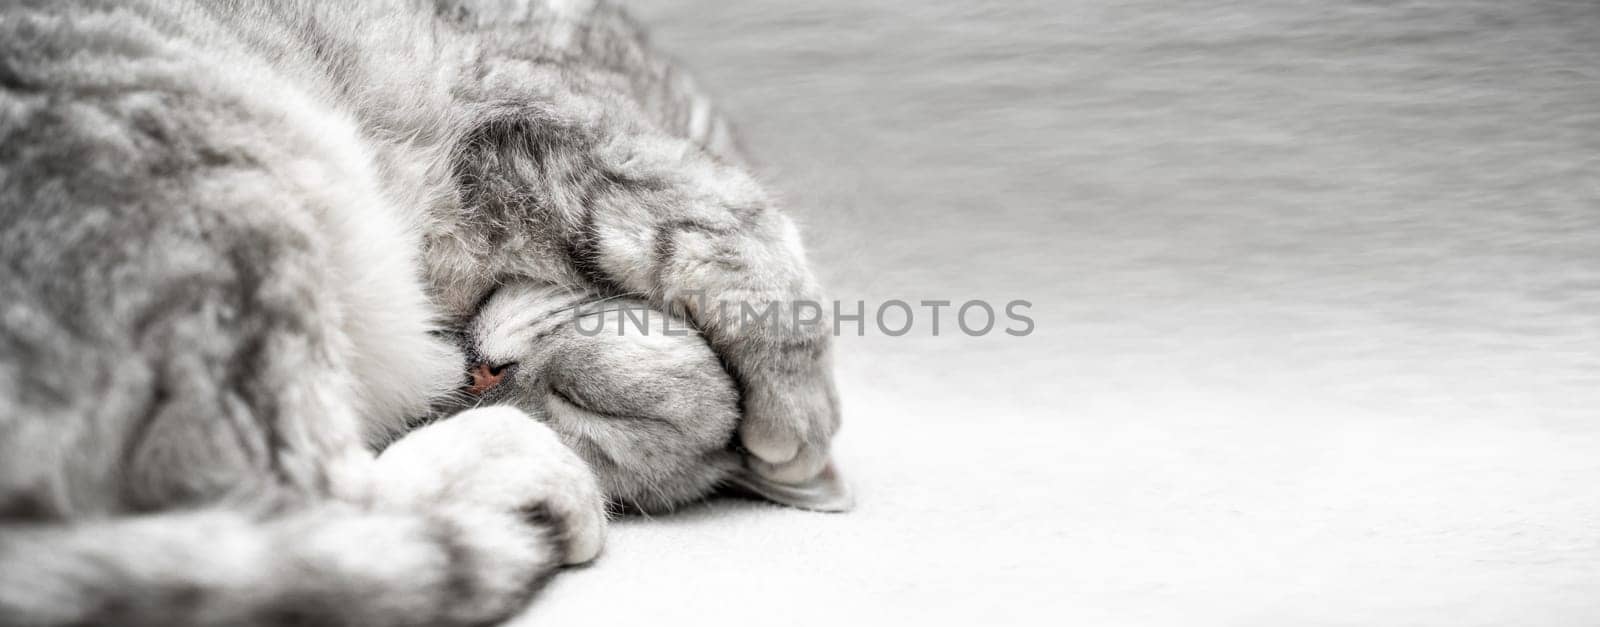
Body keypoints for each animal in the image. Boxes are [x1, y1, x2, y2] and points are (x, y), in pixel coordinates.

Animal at [0, 1, 851, 627]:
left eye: (581, 406)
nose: (482, 376)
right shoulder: (537, 122)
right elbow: (732, 229)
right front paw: (800, 414)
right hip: (236, 192)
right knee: (310, 507)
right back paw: (526, 474)